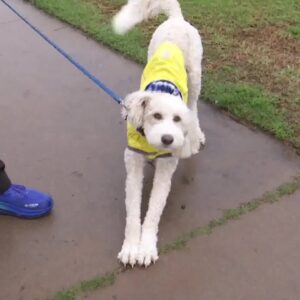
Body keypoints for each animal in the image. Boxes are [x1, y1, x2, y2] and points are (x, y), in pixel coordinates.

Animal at [113, 0, 206, 266]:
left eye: (177, 120)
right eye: (155, 116)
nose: (168, 139)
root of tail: (176, 18)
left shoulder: (166, 169)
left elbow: (154, 211)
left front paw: (145, 248)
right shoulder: (133, 166)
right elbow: (133, 212)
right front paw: (131, 247)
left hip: (195, 75)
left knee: (194, 105)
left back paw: (197, 135)